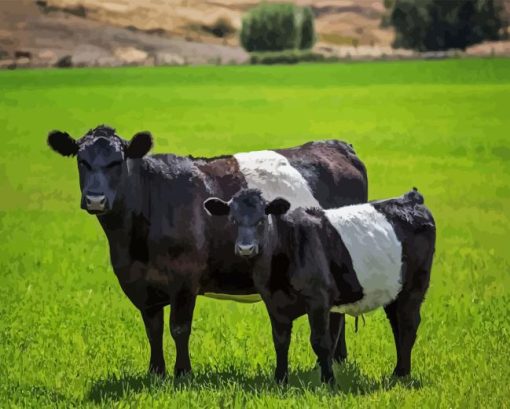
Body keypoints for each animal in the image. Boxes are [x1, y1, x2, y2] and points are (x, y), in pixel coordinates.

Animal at [46, 124, 366, 376]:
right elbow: (153, 329)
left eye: (116, 162)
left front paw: (182, 373)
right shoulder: (139, 284)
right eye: (82, 161)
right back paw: (337, 360)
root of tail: (336, 144)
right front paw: (156, 372)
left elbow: (178, 328)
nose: (95, 199)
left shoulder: (185, 280)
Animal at [205, 187, 436, 382]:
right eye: (233, 220)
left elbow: (320, 342)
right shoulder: (273, 302)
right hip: (393, 291)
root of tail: (411, 198)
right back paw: (400, 372)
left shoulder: (318, 299)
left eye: (262, 219)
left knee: (408, 325)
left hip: (415, 285)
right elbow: (280, 341)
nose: (246, 248)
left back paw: (401, 374)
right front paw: (280, 380)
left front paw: (328, 381)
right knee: (397, 326)